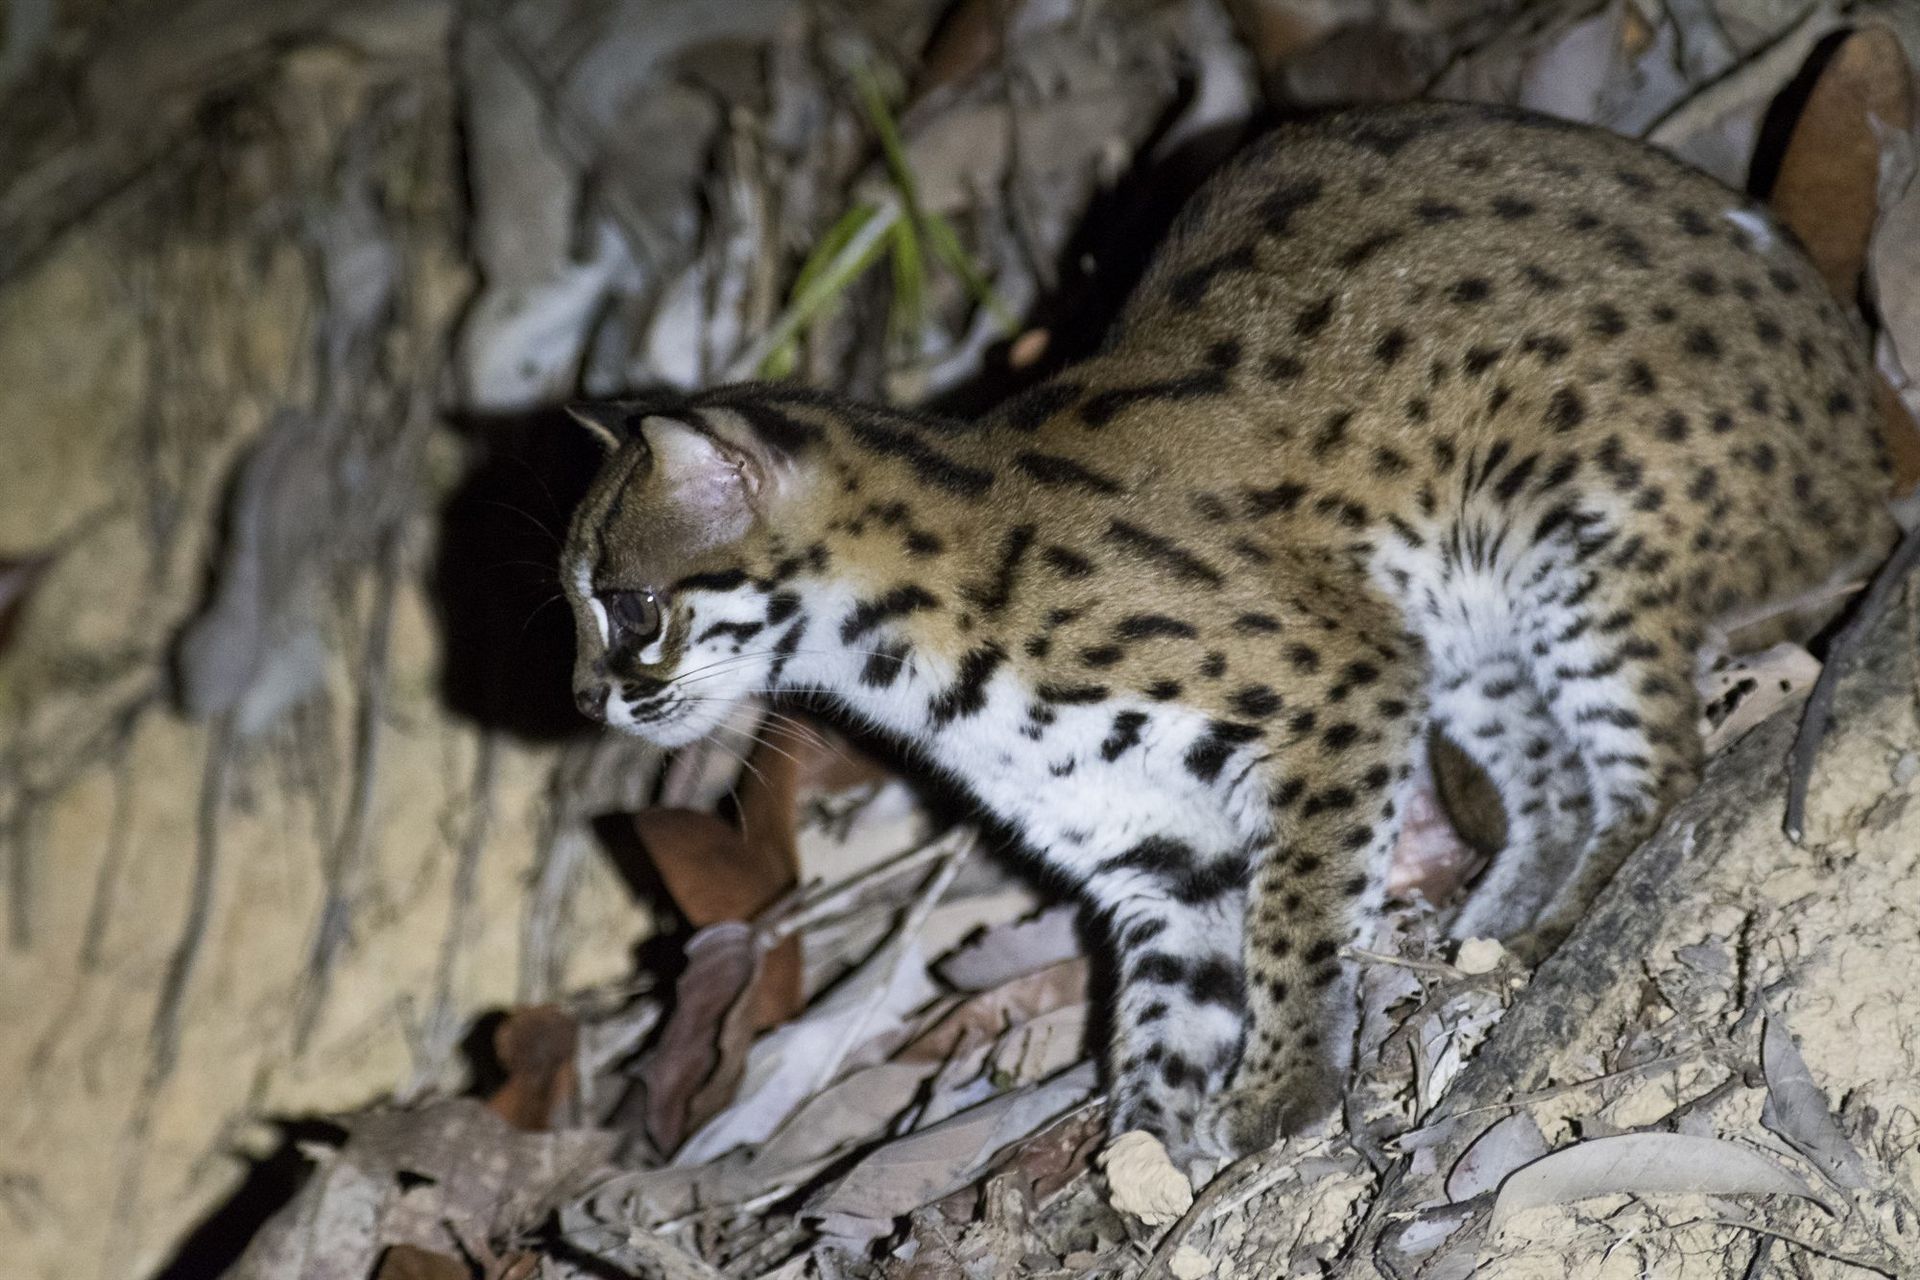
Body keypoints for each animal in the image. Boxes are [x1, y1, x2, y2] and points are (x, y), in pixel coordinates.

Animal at [557, 101, 1893, 1166]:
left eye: (630, 607)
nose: (580, 701)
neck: (906, 664)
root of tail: (1881, 425)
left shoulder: (1339, 684)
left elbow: (1295, 918)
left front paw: (1281, 1087)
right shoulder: (1155, 846)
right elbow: (1165, 1011)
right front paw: (1142, 1162)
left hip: (1562, 547)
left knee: (1661, 769)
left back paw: (1558, 931)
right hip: (1463, 624)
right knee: (1556, 783)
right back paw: (1490, 923)